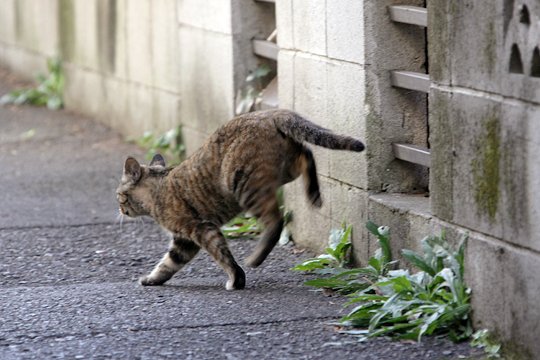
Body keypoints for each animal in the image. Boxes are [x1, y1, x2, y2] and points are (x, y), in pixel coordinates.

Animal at [116, 109, 364, 290]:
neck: (158, 191)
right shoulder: (184, 241)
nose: (119, 209)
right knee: (307, 156)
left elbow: (222, 255)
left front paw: (236, 280)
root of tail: (269, 113)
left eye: (119, 196)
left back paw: (256, 258)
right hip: (283, 169)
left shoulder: (200, 228)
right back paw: (314, 196)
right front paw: (152, 279)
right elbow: (168, 263)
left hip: (245, 186)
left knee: (276, 221)